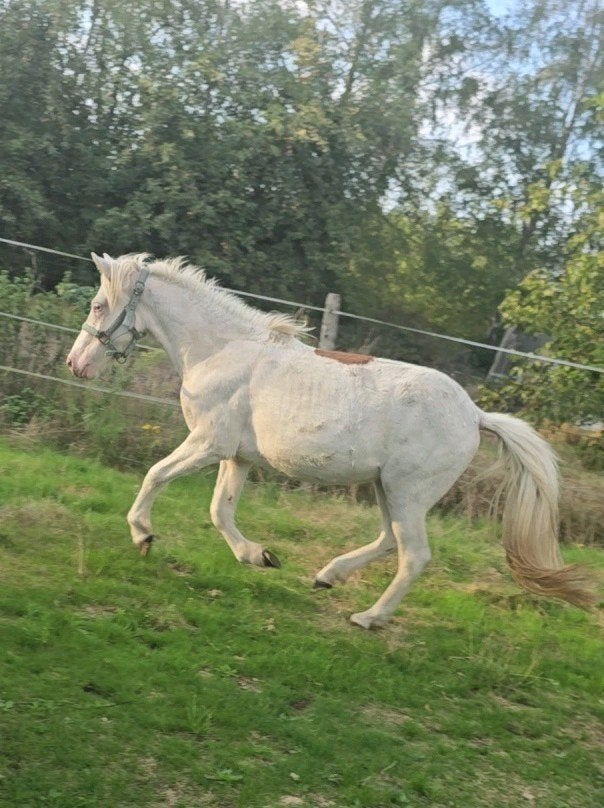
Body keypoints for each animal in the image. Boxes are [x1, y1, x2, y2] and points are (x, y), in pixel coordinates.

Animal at [66, 253, 594, 628]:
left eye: (98, 305)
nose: (76, 364)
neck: (222, 351)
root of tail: (475, 414)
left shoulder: (207, 443)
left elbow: (156, 475)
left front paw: (142, 536)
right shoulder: (237, 457)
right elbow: (220, 510)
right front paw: (260, 557)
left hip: (407, 492)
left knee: (413, 555)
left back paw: (368, 617)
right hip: (386, 488)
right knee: (388, 540)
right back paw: (326, 577)